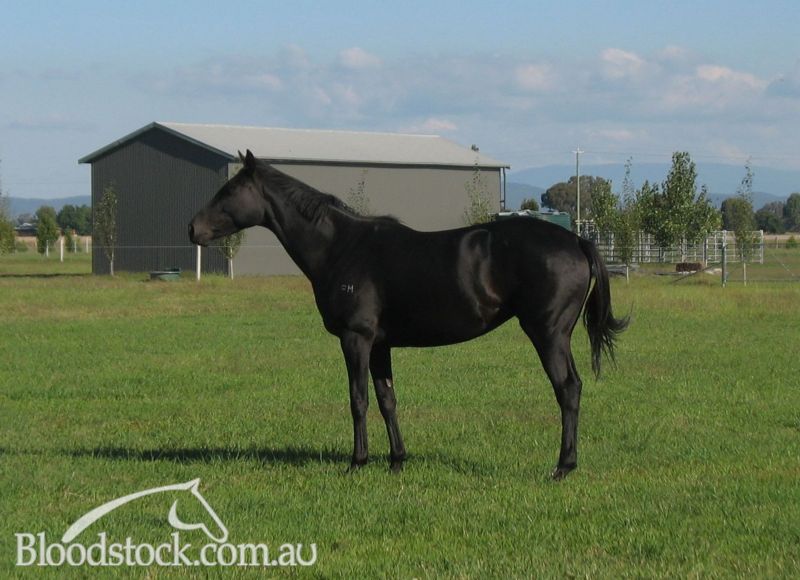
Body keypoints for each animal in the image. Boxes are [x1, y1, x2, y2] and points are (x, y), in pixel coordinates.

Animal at [189, 150, 628, 480]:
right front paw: (396, 461)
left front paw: (357, 462)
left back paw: (563, 467)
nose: (193, 228)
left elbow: (358, 399)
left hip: (548, 332)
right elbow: (387, 400)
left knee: (567, 389)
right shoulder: (380, 344)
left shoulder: (356, 338)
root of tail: (577, 240)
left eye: (229, 191)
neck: (342, 247)